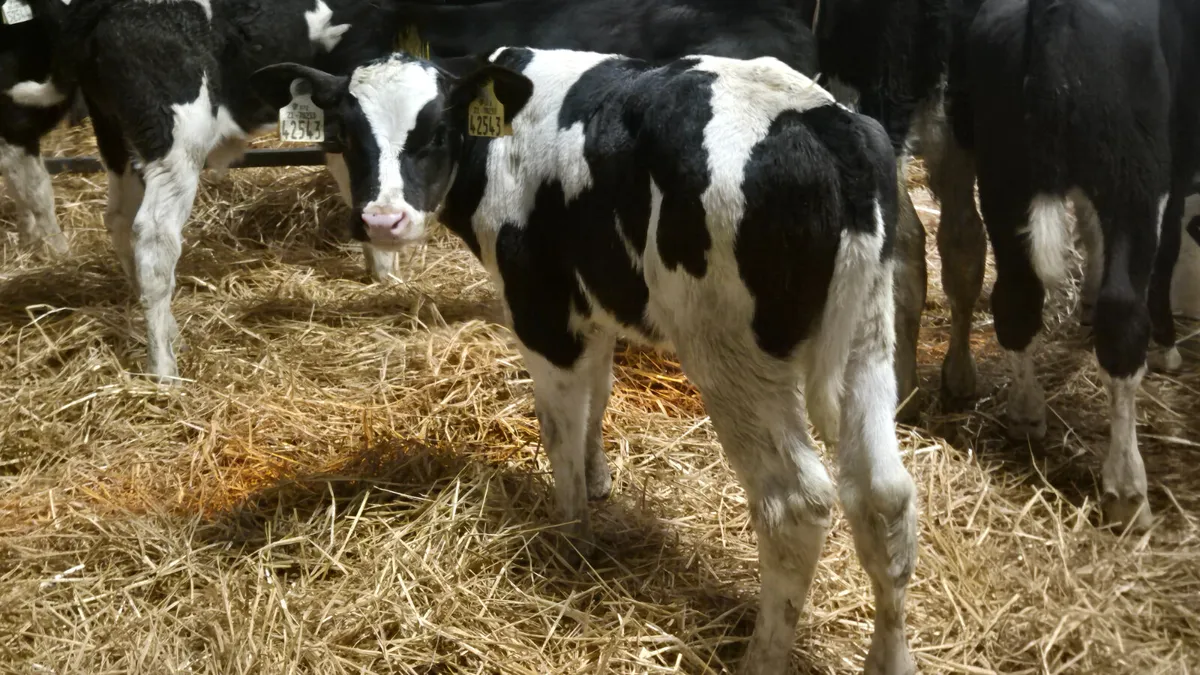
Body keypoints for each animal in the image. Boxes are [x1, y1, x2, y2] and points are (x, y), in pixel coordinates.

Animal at [251, 48, 920, 674]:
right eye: (344, 135)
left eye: (436, 132)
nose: (383, 220)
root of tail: (824, 123)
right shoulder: (595, 303)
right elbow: (598, 397)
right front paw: (599, 484)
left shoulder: (542, 309)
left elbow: (559, 427)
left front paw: (570, 537)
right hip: (868, 340)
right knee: (884, 497)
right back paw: (890, 658)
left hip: (732, 356)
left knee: (796, 506)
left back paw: (760, 658)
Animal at [940, 0, 1200, 531]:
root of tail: (1053, 11)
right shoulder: (1175, 168)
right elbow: (1165, 255)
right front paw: (1167, 346)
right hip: (1133, 176)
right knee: (1122, 317)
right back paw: (1127, 491)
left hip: (1003, 175)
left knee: (1015, 299)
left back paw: (1026, 413)